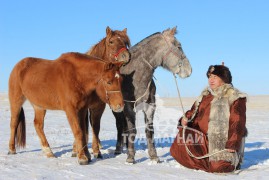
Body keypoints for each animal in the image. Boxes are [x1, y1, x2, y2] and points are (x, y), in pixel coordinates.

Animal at [70, 26, 130, 158]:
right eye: (111, 42)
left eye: (126, 42)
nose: (126, 56)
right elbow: (83, 127)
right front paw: (78, 149)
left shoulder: (99, 106)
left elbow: (95, 128)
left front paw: (96, 151)